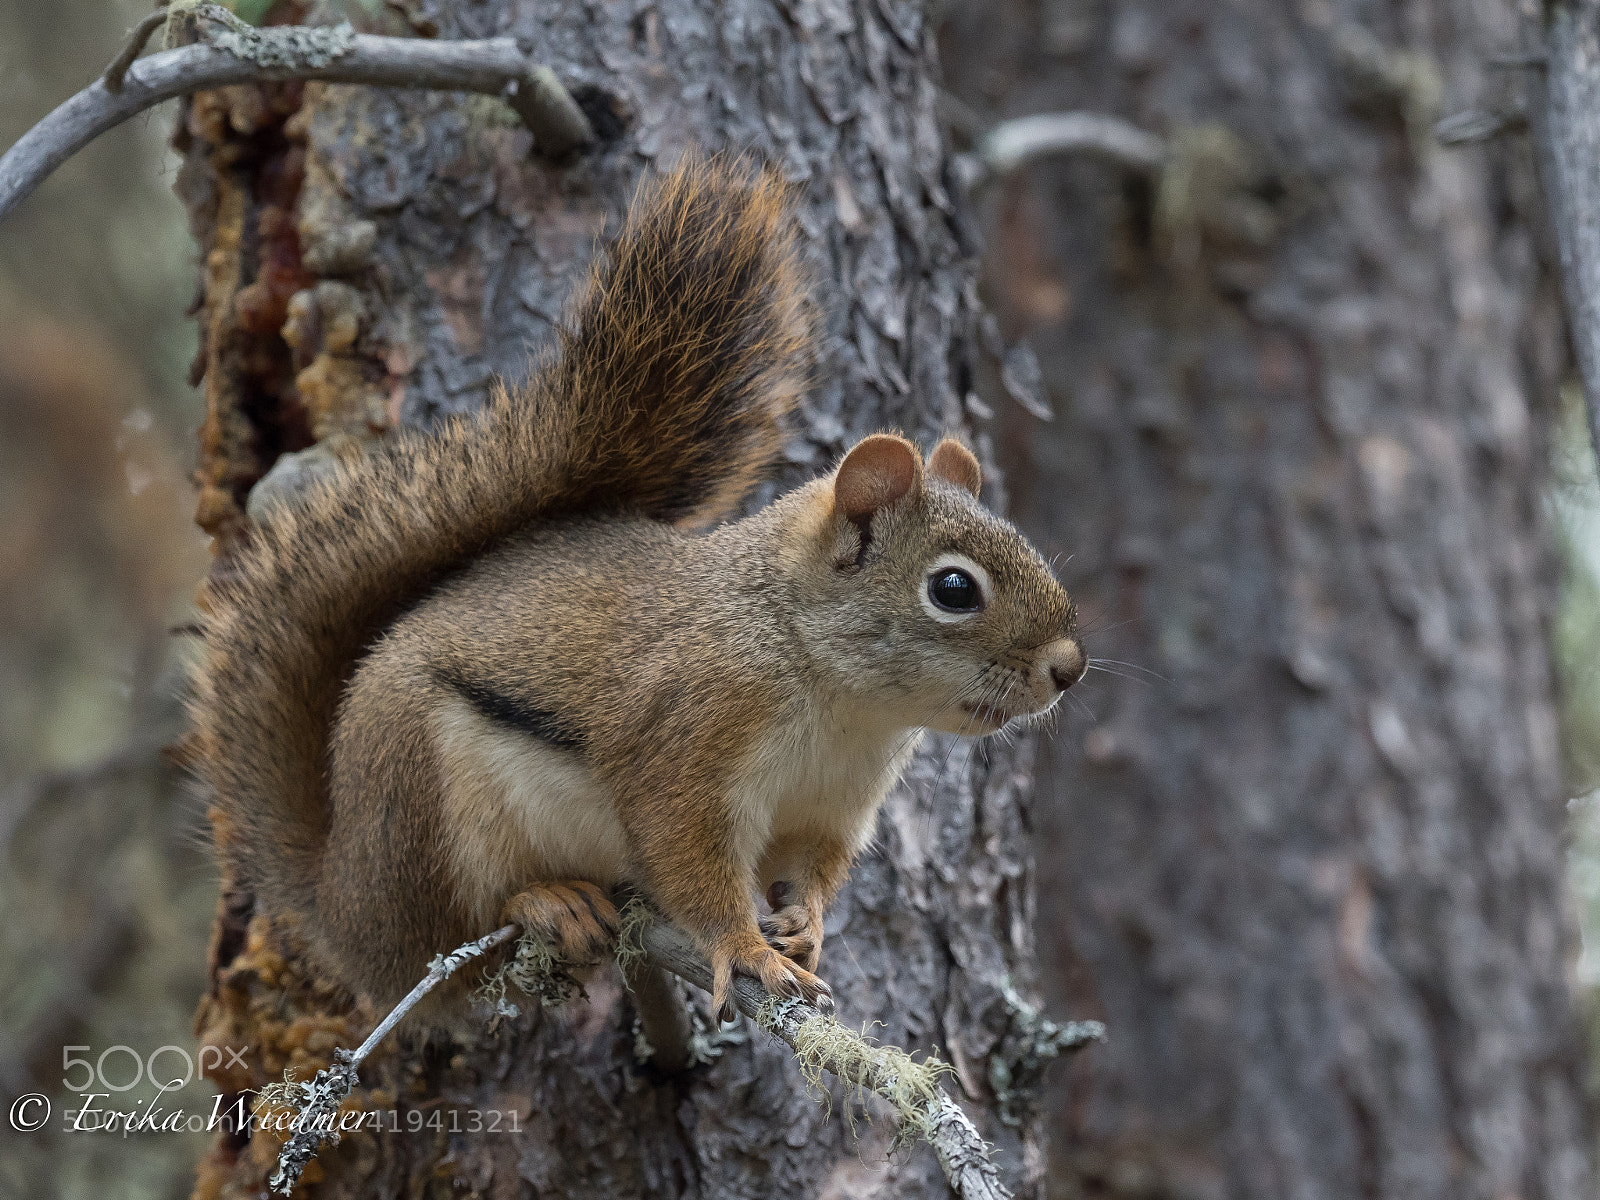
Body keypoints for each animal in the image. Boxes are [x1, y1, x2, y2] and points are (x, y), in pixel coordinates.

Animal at [191, 156, 1086, 1026]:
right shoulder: (688, 739)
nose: (1070, 668)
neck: (833, 689)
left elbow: (813, 868)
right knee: (453, 939)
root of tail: (341, 908)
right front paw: (747, 951)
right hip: (424, 802)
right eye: (954, 589)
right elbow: (690, 864)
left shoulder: (832, 804)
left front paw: (805, 926)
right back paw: (546, 902)